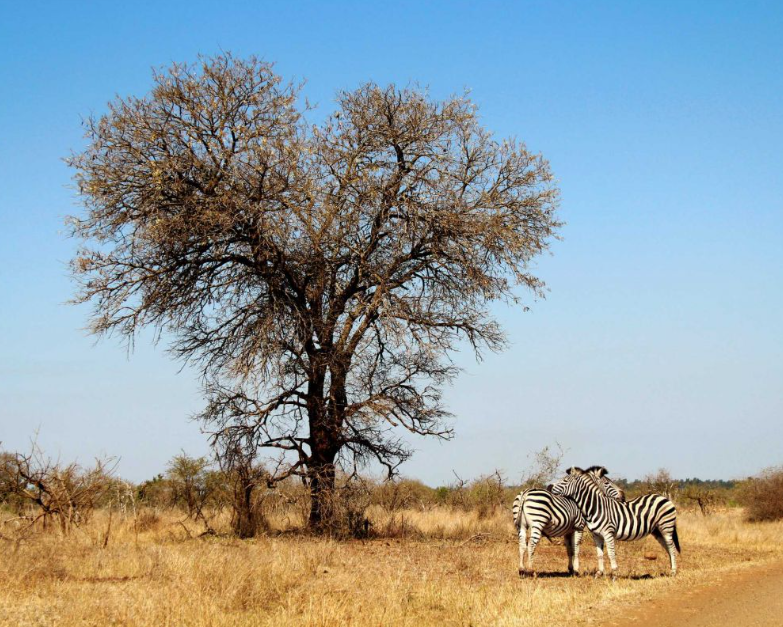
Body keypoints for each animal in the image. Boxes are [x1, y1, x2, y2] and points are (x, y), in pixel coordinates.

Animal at [548, 466, 684, 580]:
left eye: (565, 481)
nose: (549, 487)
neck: (596, 507)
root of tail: (665, 498)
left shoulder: (608, 533)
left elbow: (611, 554)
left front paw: (614, 574)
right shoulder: (596, 535)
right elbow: (599, 554)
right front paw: (599, 573)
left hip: (666, 527)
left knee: (671, 547)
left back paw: (673, 572)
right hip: (657, 531)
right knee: (668, 547)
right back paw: (670, 569)